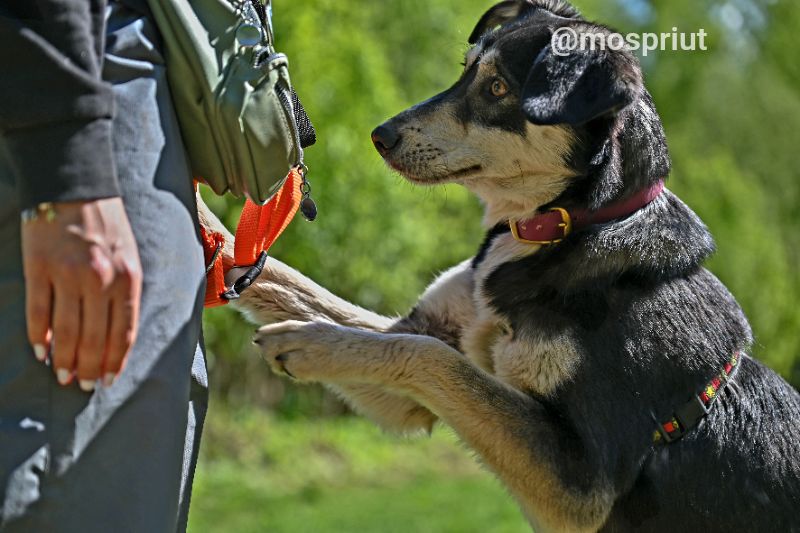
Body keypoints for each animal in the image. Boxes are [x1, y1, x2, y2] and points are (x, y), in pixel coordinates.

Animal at [198, 2, 800, 528]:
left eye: (497, 89)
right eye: (464, 73)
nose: (379, 136)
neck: (557, 231)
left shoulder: (579, 487)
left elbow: (430, 359)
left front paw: (306, 341)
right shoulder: (422, 347)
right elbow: (293, 285)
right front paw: (205, 224)